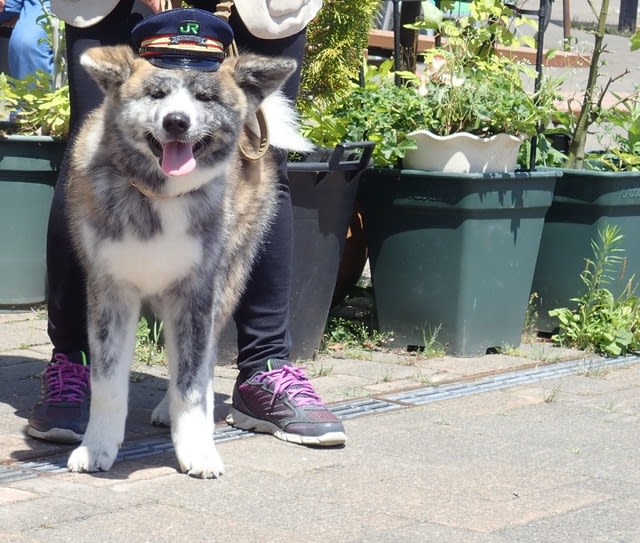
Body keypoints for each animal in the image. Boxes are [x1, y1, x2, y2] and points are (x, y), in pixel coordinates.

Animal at [64, 45, 310, 480]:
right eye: (156, 94)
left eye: (205, 98)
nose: (177, 122)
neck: (160, 196)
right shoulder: (110, 292)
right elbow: (108, 383)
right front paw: (97, 447)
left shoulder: (197, 293)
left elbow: (191, 381)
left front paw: (196, 447)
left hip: (228, 278)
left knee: (204, 359)